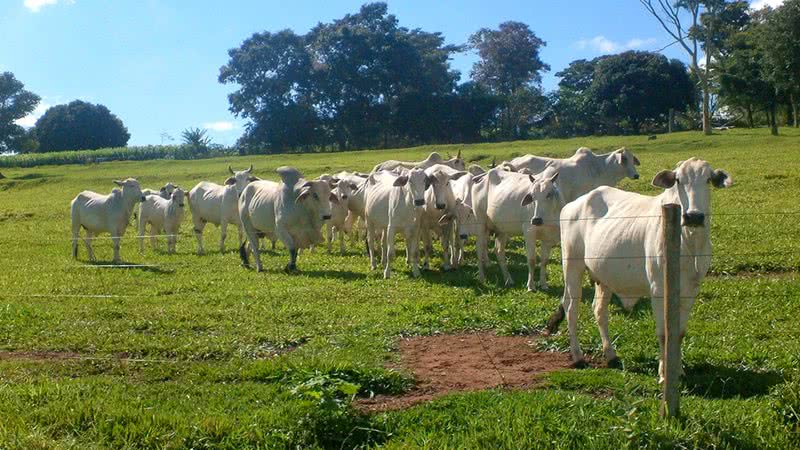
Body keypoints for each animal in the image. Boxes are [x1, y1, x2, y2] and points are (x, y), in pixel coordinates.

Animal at [552, 159, 732, 380]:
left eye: (708, 179)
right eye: (678, 180)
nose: (694, 217)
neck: (689, 243)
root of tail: (574, 204)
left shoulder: (690, 291)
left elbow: (679, 333)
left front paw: (678, 370)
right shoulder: (658, 290)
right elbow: (664, 334)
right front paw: (664, 373)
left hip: (604, 277)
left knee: (599, 310)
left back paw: (610, 354)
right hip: (572, 267)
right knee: (571, 308)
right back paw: (577, 356)